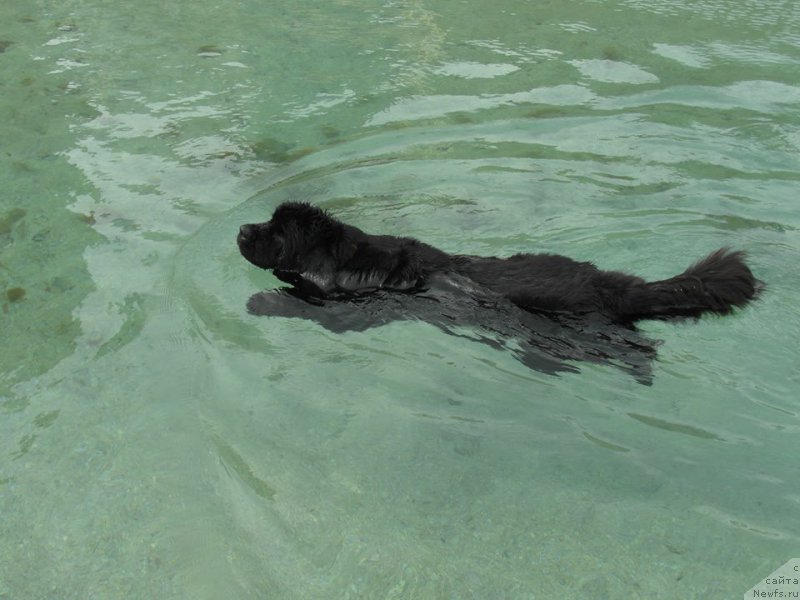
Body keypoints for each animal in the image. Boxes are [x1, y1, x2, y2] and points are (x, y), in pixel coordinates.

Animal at [234, 200, 760, 380]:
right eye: (266, 220)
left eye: (276, 232)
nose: (241, 228)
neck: (345, 256)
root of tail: (612, 284)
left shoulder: (349, 308)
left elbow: (304, 303)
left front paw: (260, 300)